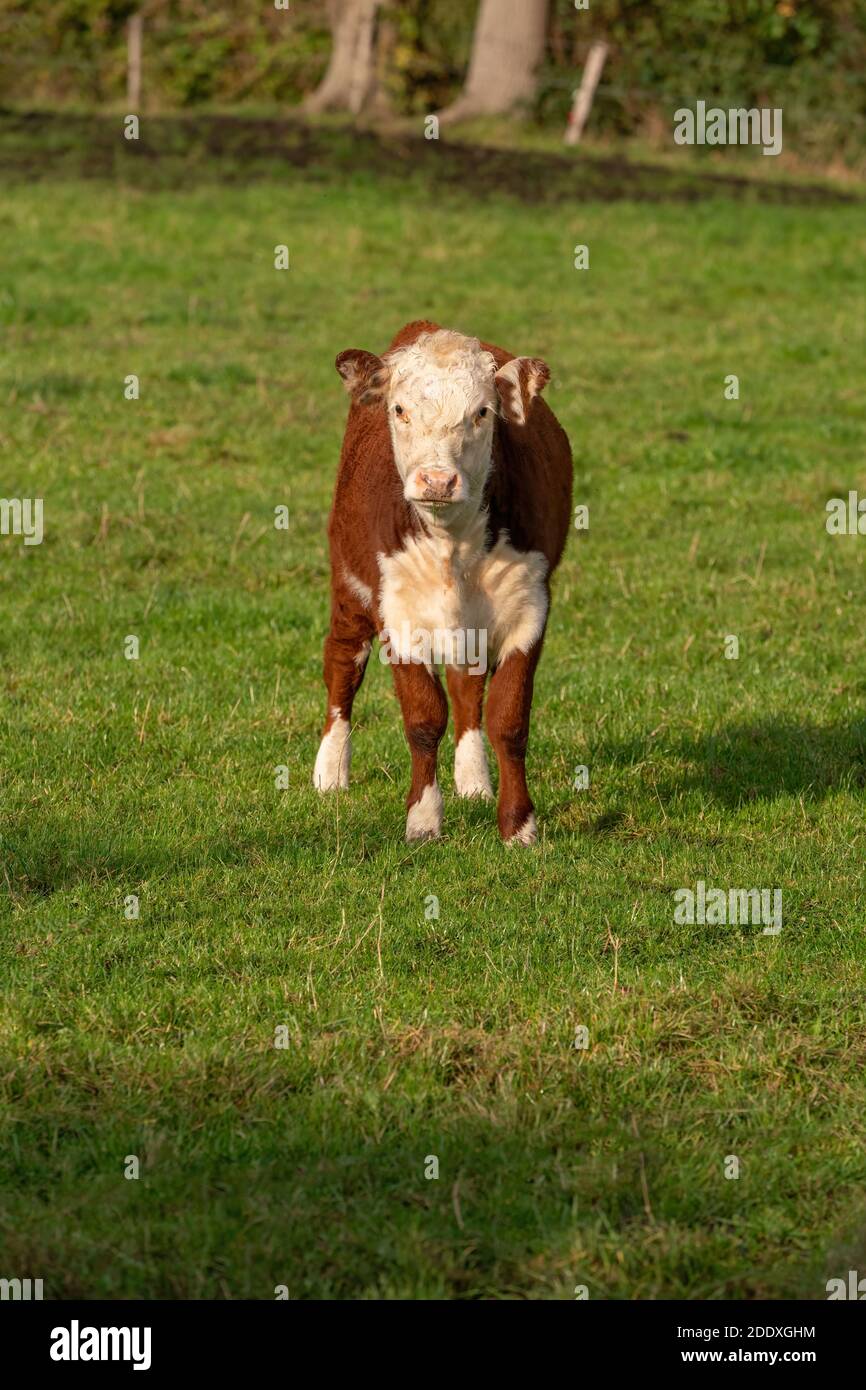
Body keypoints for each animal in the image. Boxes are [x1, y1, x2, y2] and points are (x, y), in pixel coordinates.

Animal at [313, 320, 572, 845]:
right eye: (400, 409)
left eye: (482, 411)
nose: (436, 480)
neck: (454, 546)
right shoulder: (396, 614)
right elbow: (424, 717)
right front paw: (424, 819)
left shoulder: (529, 608)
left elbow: (508, 719)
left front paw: (519, 826)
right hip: (349, 584)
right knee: (343, 662)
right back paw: (330, 770)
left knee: (468, 687)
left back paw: (473, 779)